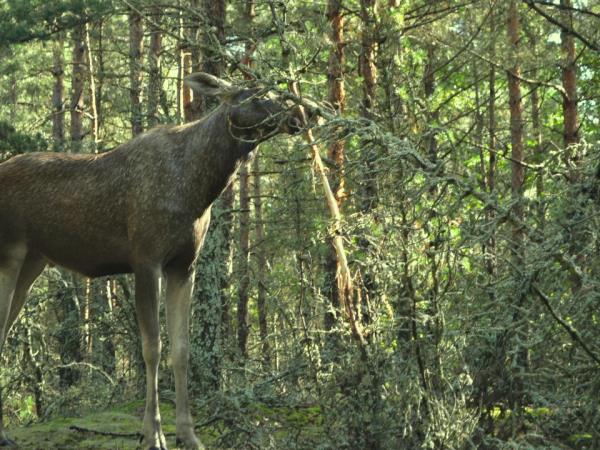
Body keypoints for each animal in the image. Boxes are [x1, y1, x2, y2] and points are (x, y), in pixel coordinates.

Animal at [0, 72, 308, 448]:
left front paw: (188, 433)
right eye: (254, 95)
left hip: (33, 260)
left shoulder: (184, 265)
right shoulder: (145, 259)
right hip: (10, 252)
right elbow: (152, 348)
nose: (299, 115)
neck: (198, 189)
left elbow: (182, 349)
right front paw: (153, 432)